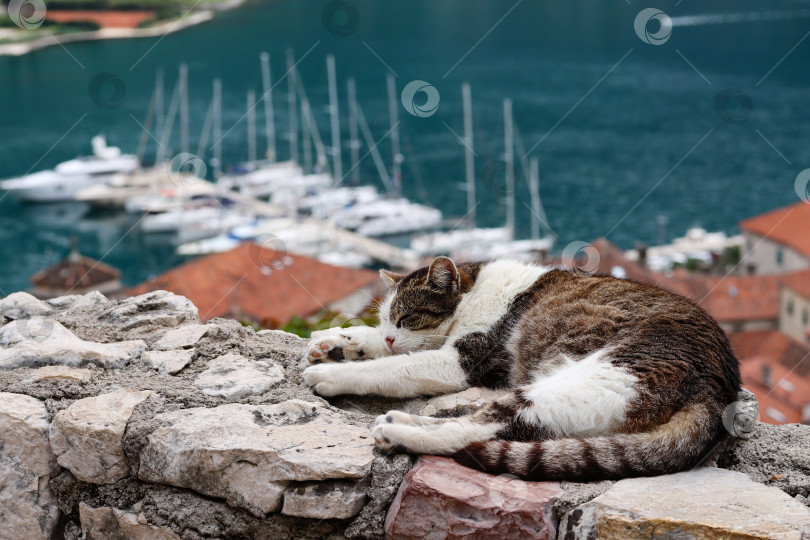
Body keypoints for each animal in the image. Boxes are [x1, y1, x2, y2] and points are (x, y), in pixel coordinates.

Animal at [302, 258, 740, 480]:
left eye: (408, 317)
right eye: (387, 320)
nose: (392, 336)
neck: (476, 288)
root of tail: (720, 388)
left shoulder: (463, 359)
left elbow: (394, 368)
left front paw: (333, 372)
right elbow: (380, 348)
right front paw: (335, 341)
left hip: (588, 378)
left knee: (478, 429)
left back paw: (397, 432)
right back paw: (400, 420)